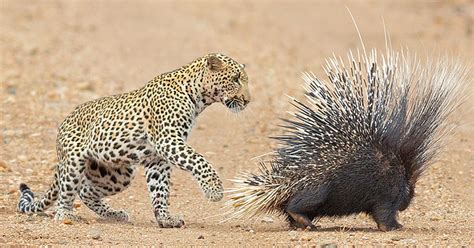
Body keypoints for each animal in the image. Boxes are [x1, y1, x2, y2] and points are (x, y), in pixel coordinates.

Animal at [16, 53, 250, 228]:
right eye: (235, 79)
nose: (248, 100)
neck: (198, 97)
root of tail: (62, 125)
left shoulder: (157, 157)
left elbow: (160, 189)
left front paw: (165, 218)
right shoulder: (168, 140)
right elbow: (199, 160)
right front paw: (214, 190)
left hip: (117, 174)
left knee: (85, 191)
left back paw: (114, 214)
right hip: (74, 163)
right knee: (67, 192)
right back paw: (66, 215)